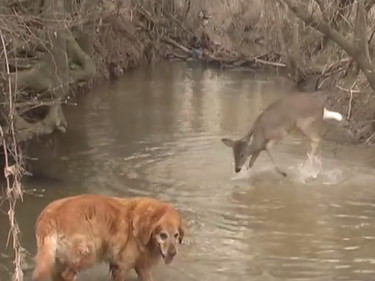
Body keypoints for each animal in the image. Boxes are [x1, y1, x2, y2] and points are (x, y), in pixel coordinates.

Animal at [31, 194, 186, 280]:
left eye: (176, 235)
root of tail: (49, 216)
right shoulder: (121, 266)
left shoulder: (142, 267)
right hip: (88, 255)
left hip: (58, 261)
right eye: (163, 235)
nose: (173, 253)